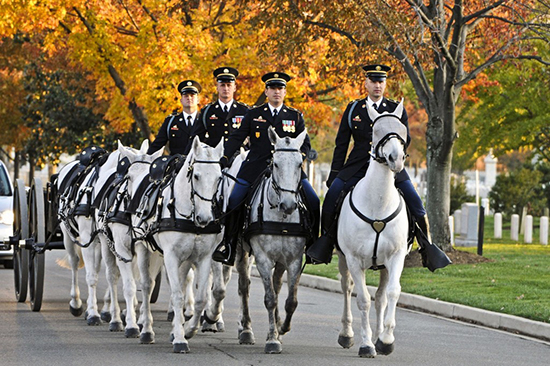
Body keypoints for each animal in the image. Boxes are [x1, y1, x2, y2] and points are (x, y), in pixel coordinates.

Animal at [244, 127, 312, 354]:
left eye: (300, 163)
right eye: (275, 164)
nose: (288, 205)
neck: (281, 219)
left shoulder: (294, 260)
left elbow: (291, 300)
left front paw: (281, 328)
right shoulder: (262, 259)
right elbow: (270, 299)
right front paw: (273, 340)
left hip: (281, 260)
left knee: (277, 284)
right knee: (244, 287)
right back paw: (245, 330)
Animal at [338, 100, 412, 358]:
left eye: (402, 130)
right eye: (376, 130)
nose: (396, 159)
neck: (378, 202)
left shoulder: (396, 256)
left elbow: (392, 293)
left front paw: (386, 340)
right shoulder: (353, 259)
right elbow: (363, 300)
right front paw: (366, 344)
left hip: (383, 266)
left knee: (381, 297)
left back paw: (380, 335)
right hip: (343, 260)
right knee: (347, 289)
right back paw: (347, 334)